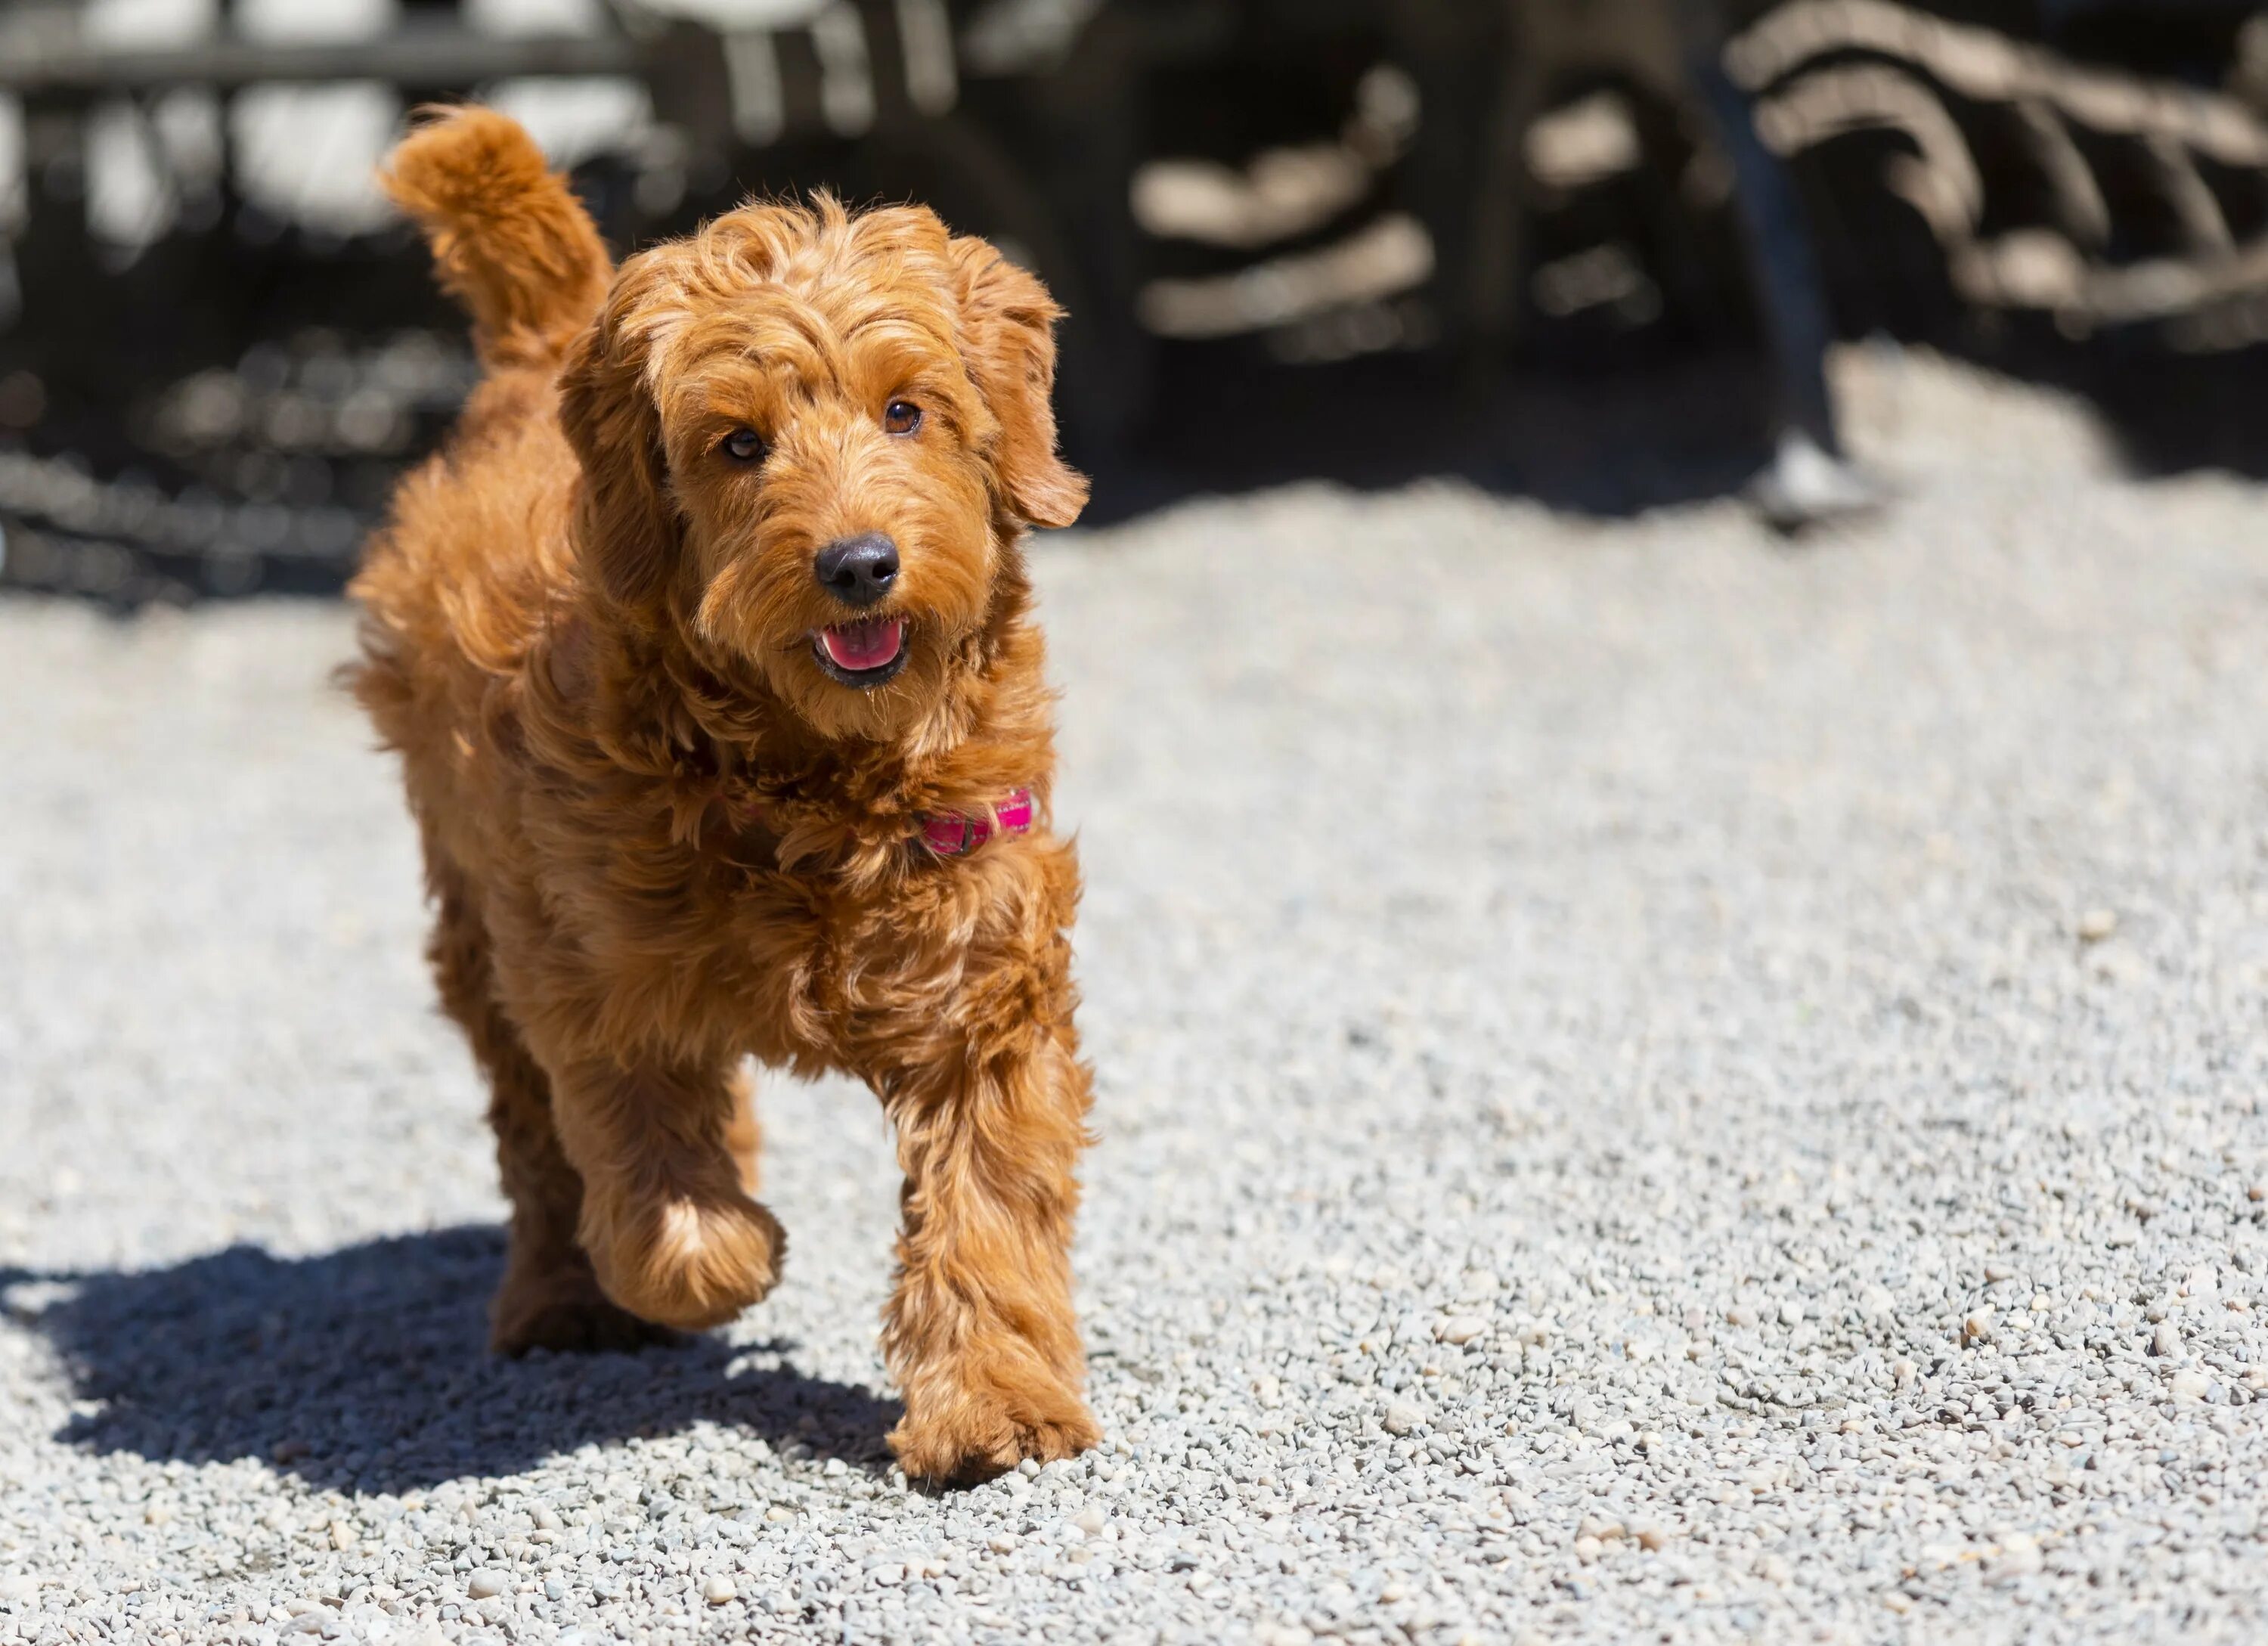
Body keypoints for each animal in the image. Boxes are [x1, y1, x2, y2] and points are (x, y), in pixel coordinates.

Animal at [345, 109, 1098, 1487]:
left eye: (906, 410)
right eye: (738, 443)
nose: (858, 565)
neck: (817, 775)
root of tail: (542, 348)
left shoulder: (986, 977)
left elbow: (989, 1202)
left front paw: (994, 1404)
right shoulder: (588, 970)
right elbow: (654, 1188)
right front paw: (725, 1255)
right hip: (475, 917)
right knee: (533, 1135)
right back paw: (560, 1297)